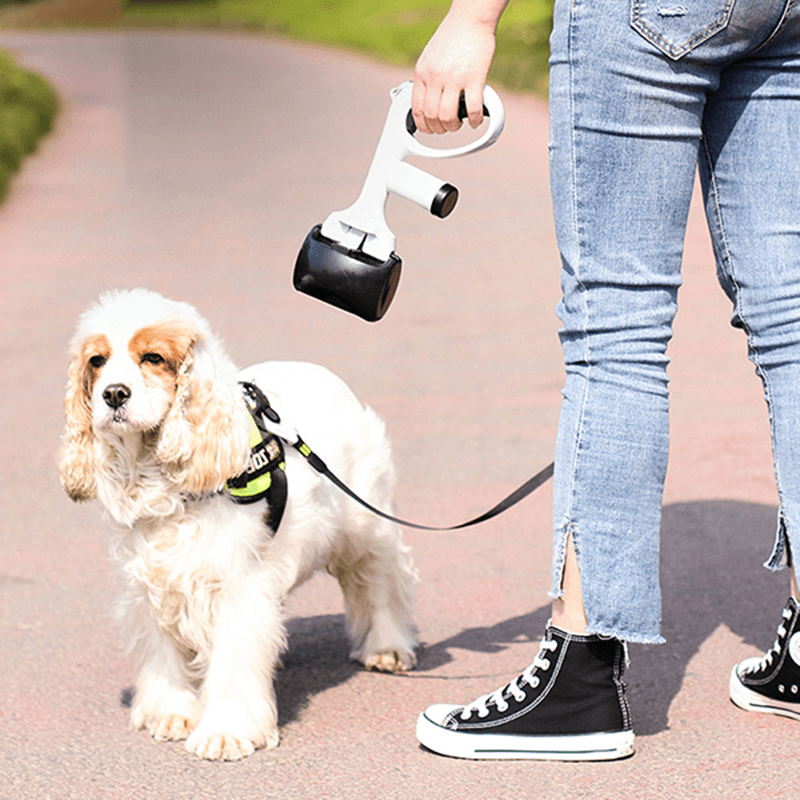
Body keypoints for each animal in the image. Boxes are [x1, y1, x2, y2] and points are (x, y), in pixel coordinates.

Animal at [59, 290, 418, 760]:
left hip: (365, 523)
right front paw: (171, 714)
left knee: (383, 578)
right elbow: (163, 653)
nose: (113, 394)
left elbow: (232, 663)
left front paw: (225, 733)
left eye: (153, 357)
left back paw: (388, 646)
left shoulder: (233, 585)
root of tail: (317, 369)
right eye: (97, 361)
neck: (160, 474)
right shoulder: (153, 583)